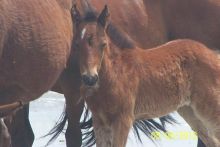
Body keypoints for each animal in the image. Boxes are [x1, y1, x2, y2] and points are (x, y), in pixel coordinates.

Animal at [73, 5, 220, 147]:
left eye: (103, 44)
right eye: (77, 45)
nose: (90, 79)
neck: (115, 73)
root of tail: (213, 54)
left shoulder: (123, 119)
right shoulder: (99, 121)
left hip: (210, 106)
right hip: (190, 111)